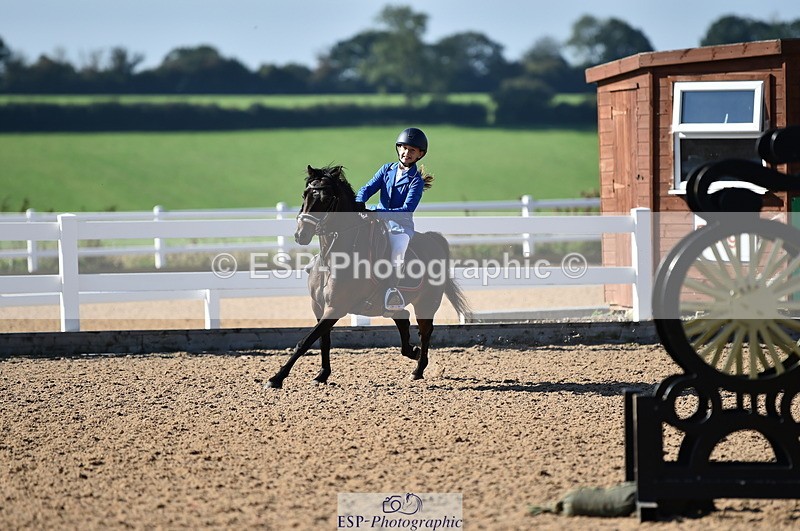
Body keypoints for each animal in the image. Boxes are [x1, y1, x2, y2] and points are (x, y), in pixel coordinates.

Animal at [265, 165, 470, 389]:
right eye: (305, 195)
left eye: (326, 199)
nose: (301, 235)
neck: (333, 258)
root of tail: (433, 240)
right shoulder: (318, 306)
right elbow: (323, 341)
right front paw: (322, 375)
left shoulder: (336, 307)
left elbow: (305, 341)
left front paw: (276, 378)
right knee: (403, 318)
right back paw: (413, 354)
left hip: (426, 302)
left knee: (425, 332)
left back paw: (418, 369)